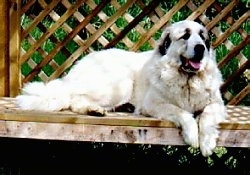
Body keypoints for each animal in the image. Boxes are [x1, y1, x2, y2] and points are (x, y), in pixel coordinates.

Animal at [15, 19, 227, 157]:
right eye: (185, 36)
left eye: (203, 38)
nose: (201, 48)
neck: (188, 80)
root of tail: (80, 64)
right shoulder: (153, 104)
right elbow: (182, 113)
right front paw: (192, 136)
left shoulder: (217, 104)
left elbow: (207, 115)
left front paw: (207, 142)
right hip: (121, 83)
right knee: (74, 99)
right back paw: (95, 109)